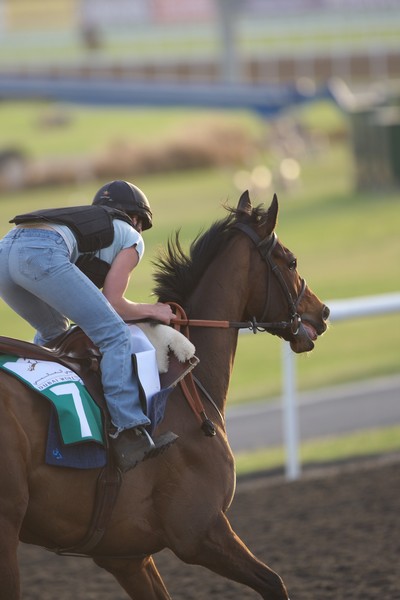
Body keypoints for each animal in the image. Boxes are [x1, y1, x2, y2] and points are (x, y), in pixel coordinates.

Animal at [0, 191, 328, 596]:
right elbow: (274, 583)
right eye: (291, 260)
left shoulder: (126, 556)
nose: (323, 313)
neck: (185, 379)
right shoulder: (198, 532)